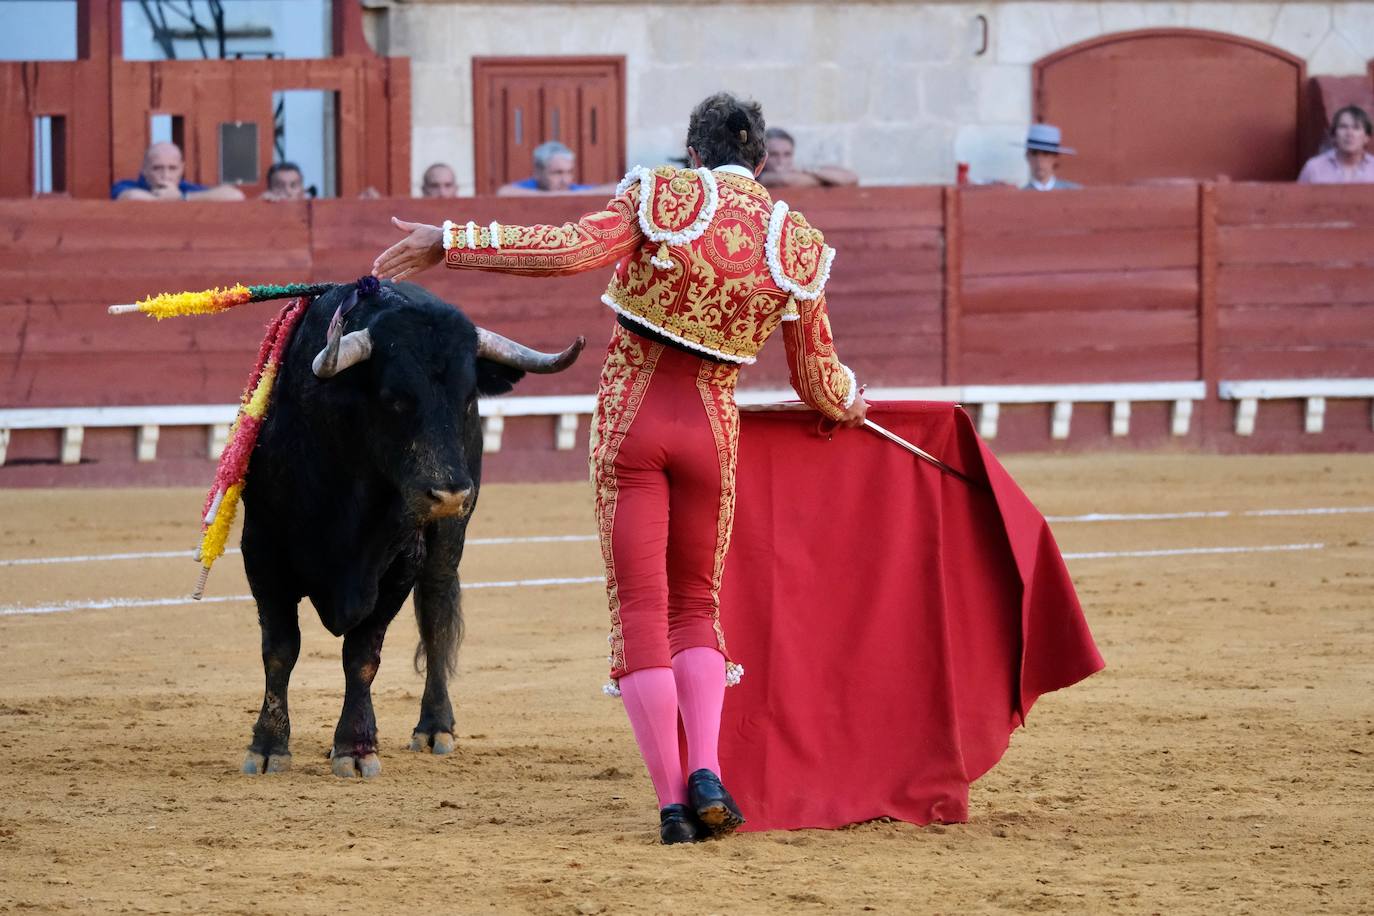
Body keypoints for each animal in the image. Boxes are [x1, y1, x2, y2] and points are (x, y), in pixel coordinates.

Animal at [239, 281, 582, 780]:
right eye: (395, 397)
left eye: (467, 399)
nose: (450, 494)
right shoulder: (262, 552)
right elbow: (280, 648)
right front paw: (268, 747)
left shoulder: (399, 564)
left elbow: (362, 656)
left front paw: (355, 748)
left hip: (447, 543)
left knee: (436, 617)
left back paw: (435, 727)